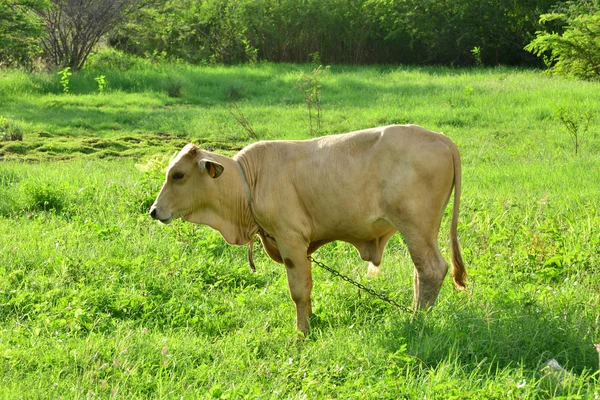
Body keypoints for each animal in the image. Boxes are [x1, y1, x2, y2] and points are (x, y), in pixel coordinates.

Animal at [151, 125, 468, 334]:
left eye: (178, 175)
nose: (154, 211)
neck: (248, 183)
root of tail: (439, 137)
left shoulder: (290, 240)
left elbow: (299, 291)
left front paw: (301, 333)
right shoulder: (301, 247)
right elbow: (309, 285)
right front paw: (311, 321)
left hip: (415, 226)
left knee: (431, 270)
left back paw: (418, 321)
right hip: (422, 231)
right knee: (420, 273)